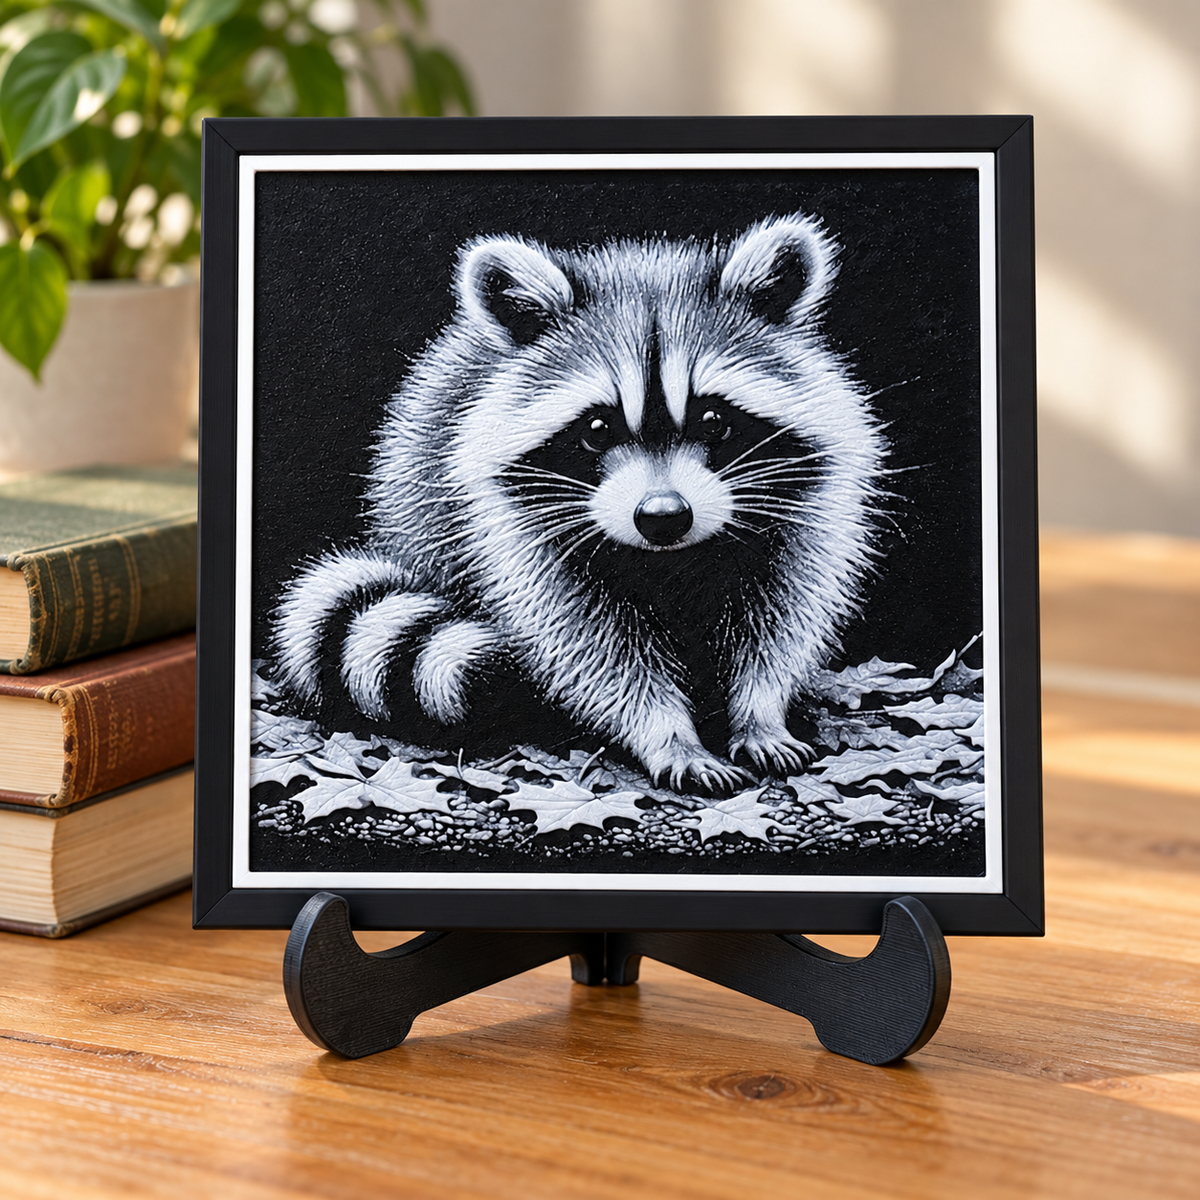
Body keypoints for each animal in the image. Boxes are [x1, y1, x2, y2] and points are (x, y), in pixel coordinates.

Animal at [274, 212, 884, 792]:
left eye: (714, 420)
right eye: (596, 428)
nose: (663, 518)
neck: (669, 561)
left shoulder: (808, 507)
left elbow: (777, 622)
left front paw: (759, 715)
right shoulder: (517, 530)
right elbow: (593, 647)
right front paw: (669, 735)